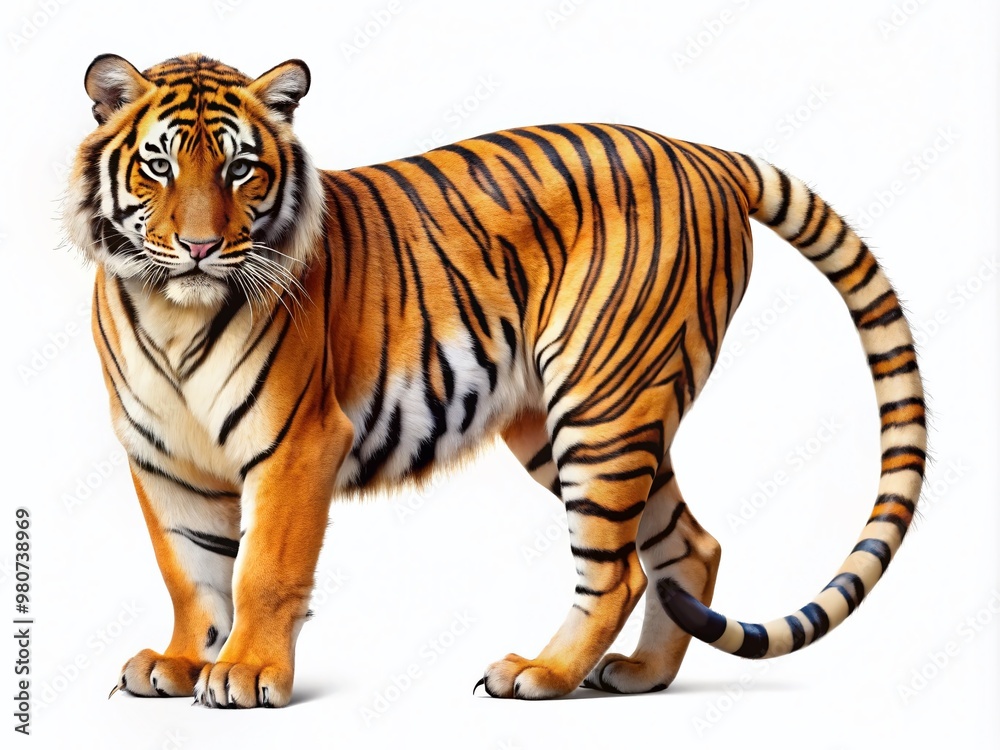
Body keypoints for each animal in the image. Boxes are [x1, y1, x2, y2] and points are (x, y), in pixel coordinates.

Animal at [64, 52, 926, 708]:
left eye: (241, 168)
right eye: (158, 166)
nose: (201, 247)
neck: (172, 310)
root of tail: (697, 150)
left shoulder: (297, 441)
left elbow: (263, 569)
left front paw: (244, 672)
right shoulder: (162, 457)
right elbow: (192, 571)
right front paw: (183, 663)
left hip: (602, 405)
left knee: (615, 570)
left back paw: (542, 673)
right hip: (573, 419)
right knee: (690, 544)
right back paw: (642, 674)